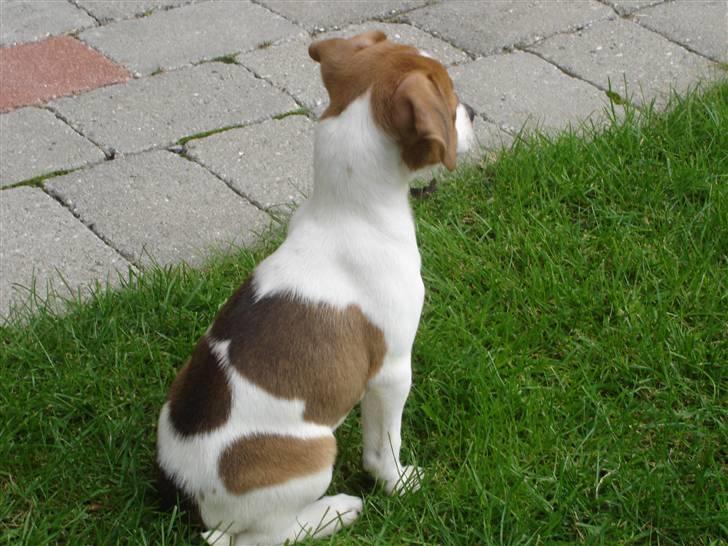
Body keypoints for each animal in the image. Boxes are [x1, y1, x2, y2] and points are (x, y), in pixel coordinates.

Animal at [156, 30, 474, 544]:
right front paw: (399, 484)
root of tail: (203, 511)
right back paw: (338, 511)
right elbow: (384, 447)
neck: (348, 212)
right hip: (316, 455)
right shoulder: (391, 371)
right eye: (449, 97)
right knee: (269, 536)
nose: (475, 114)